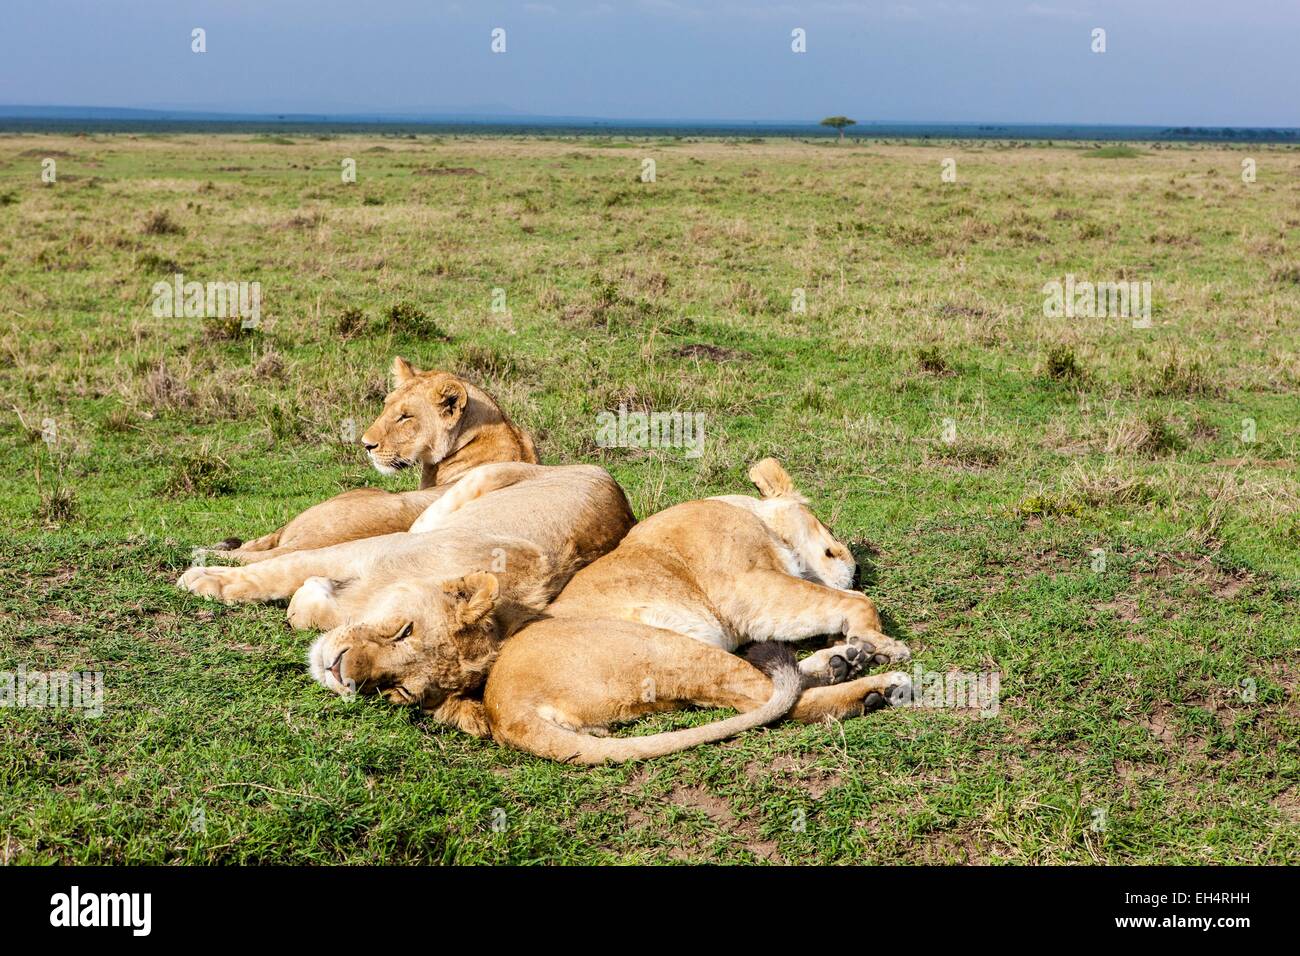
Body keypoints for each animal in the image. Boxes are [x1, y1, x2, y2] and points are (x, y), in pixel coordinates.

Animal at [311, 459, 913, 762]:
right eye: (833, 544)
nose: (850, 561)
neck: (746, 508)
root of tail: (506, 710)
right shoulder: (749, 587)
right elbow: (846, 602)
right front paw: (881, 638)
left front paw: (857, 642)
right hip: (674, 649)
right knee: (779, 700)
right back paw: (881, 685)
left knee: (774, 689)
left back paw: (843, 663)